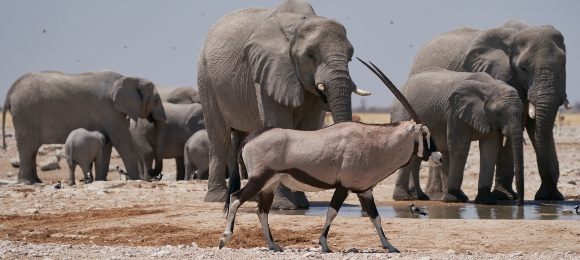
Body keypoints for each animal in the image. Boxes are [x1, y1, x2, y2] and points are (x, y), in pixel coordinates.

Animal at [3, 69, 168, 183]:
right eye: (155, 101)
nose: (152, 174)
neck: (129, 78)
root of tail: (10, 91)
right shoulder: (109, 109)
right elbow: (122, 140)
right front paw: (136, 179)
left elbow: (108, 144)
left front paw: (101, 180)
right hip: (25, 114)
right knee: (27, 147)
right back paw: (27, 182)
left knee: (32, 149)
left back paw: (37, 181)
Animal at [195, 0, 368, 209]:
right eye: (310, 55)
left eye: (350, 57)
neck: (299, 24)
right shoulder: (268, 69)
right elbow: (280, 123)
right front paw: (284, 206)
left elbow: (308, 129)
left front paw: (301, 204)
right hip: (206, 80)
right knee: (219, 137)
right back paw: (218, 198)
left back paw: (252, 197)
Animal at [406, 19, 568, 200]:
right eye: (523, 68)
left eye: (563, 64)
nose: (552, 196)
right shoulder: (501, 77)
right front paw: (504, 196)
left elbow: (533, 127)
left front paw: (548, 197)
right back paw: (435, 195)